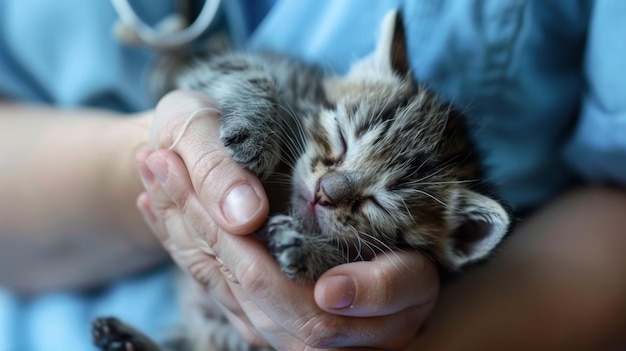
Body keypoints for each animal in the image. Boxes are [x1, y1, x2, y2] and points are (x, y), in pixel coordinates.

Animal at [95, 9, 510, 351]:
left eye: (379, 203)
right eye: (341, 139)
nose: (325, 192)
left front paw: (307, 249)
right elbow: (244, 69)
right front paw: (255, 131)